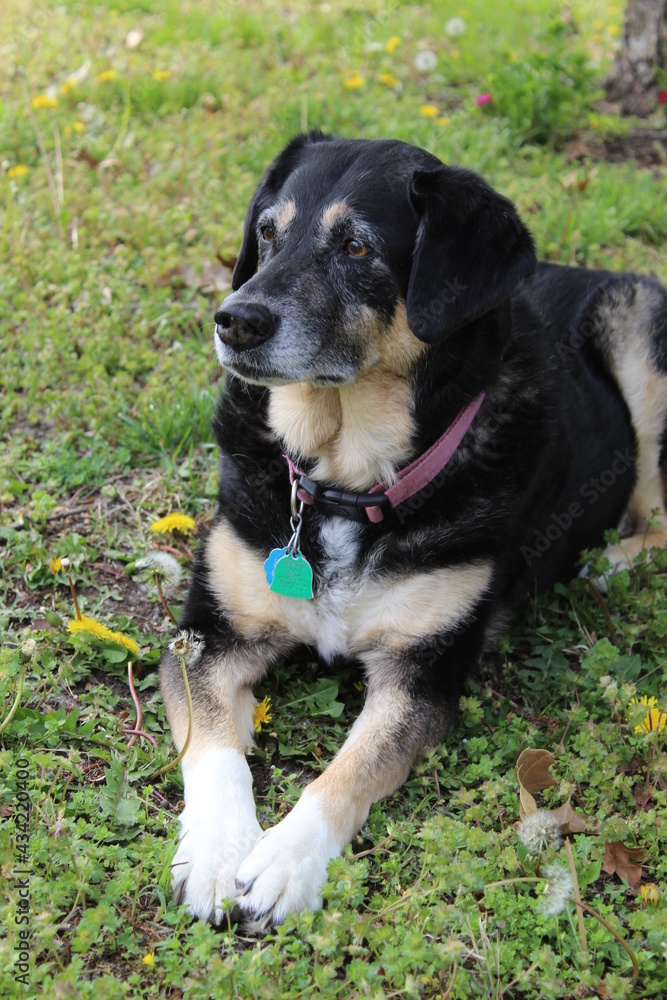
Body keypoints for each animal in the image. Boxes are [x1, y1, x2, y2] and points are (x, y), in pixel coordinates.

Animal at [160, 131, 667, 928]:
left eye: (357, 246)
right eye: (267, 232)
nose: (233, 319)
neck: (345, 482)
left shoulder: (420, 676)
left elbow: (349, 768)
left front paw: (284, 861)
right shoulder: (209, 636)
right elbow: (216, 752)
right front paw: (214, 851)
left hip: (639, 333)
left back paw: (614, 563)